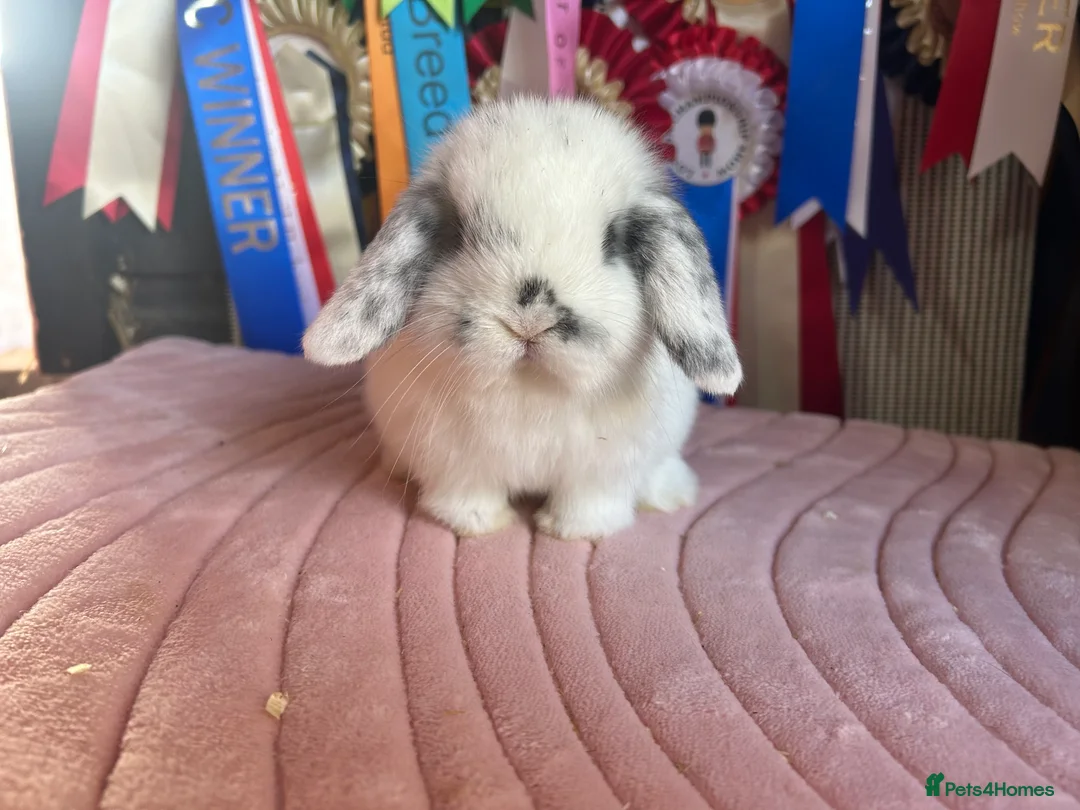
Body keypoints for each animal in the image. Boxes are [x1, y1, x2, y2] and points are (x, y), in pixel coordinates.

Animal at [302, 95, 741, 540]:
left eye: (613, 241)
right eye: (458, 234)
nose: (530, 321)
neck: (533, 386)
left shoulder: (602, 472)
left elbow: (591, 501)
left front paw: (573, 532)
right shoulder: (454, 464)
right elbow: (467, 495)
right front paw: (478, 525)